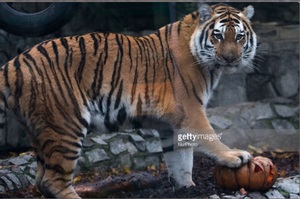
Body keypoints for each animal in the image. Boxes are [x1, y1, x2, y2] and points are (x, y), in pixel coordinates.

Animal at [0, 2, 256, 197]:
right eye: (218, 35)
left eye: (240, 36)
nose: (230, 58)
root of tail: (14, 63)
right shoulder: (191, 110)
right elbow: (209, 137)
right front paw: (234, 156)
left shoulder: (172, 123)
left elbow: (180, 159)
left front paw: (186, 187)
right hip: (65, 125)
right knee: (53, 180)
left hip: (40, 130)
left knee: (41, 179)